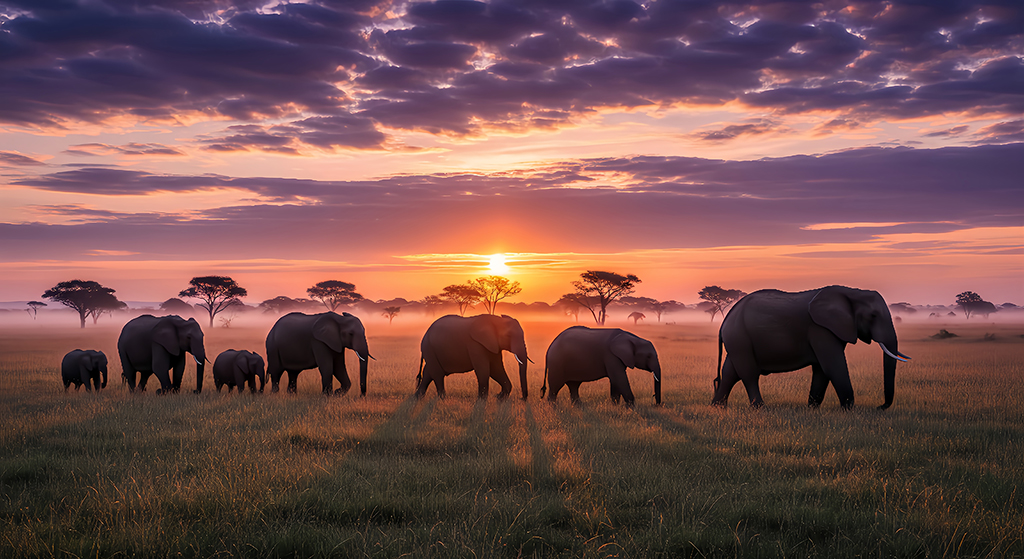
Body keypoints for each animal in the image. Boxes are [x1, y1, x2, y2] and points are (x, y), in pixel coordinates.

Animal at [711, 285, 911, 410]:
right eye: (873, 315)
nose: (879, 407)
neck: (851, 292)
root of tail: (723, 323)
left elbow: (822, 369)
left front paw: (812, 409)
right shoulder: (820, 329)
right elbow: (834, 366)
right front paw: (849, 410)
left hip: (738, 340)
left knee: (730, 372)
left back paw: (717, 407)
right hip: (739, 337)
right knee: (749, 373)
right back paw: (760, 408)